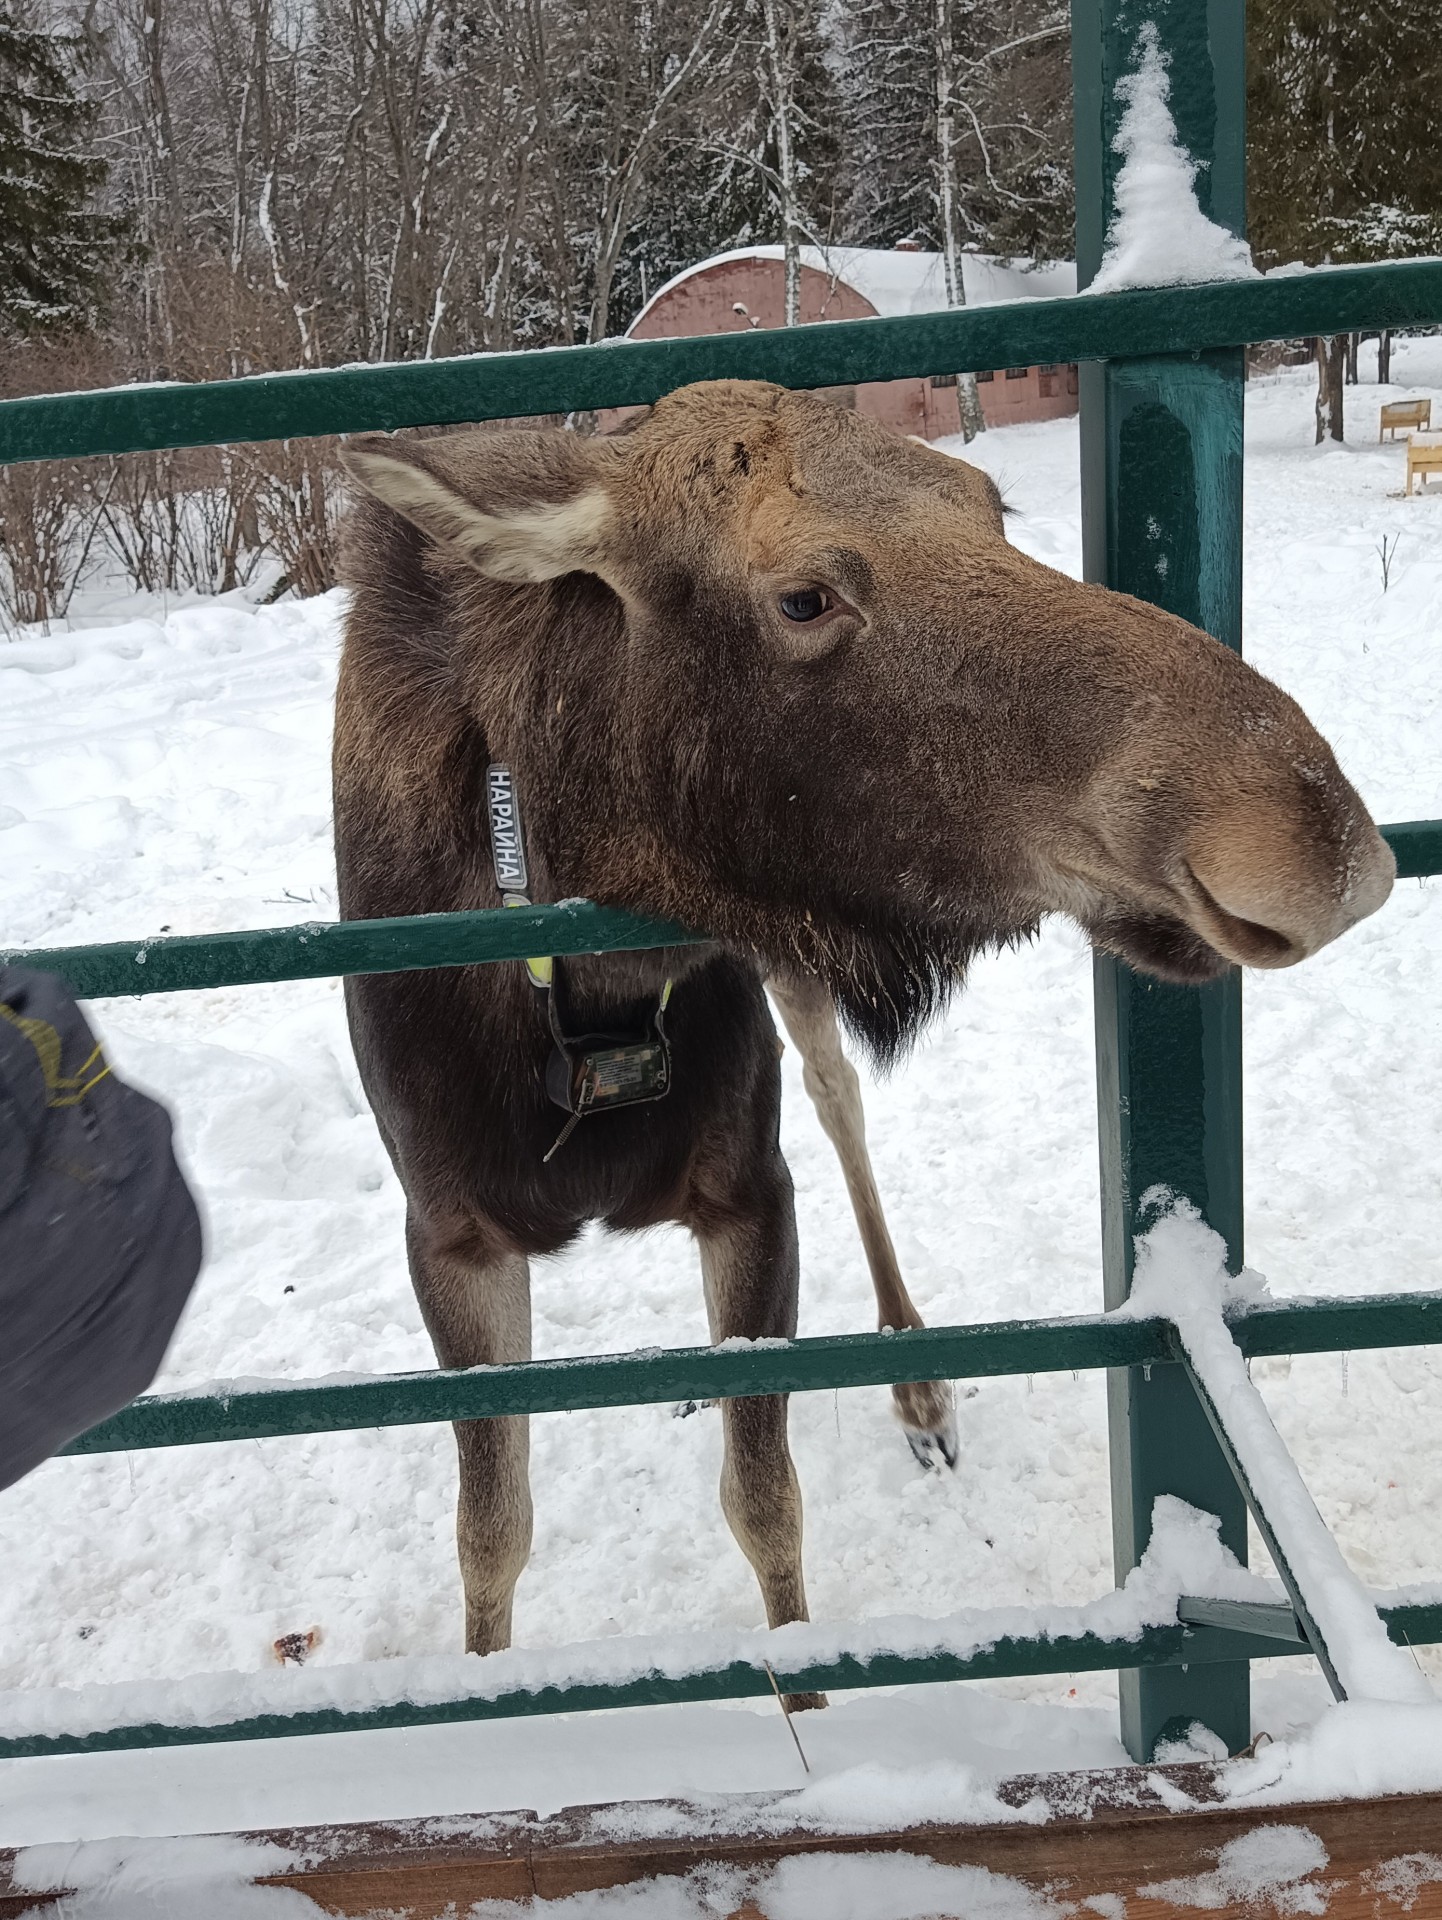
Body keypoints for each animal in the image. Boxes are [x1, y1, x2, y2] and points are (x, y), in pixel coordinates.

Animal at [337, 378, 1397, 1697]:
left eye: (990, 507)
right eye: (803, 596)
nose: (1315, 839)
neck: (582, 1003)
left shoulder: (750, 1189)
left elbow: (764, 1505)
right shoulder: (450, 1236)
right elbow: (489, 1534)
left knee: (837, 1095)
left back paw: (915, 1375)